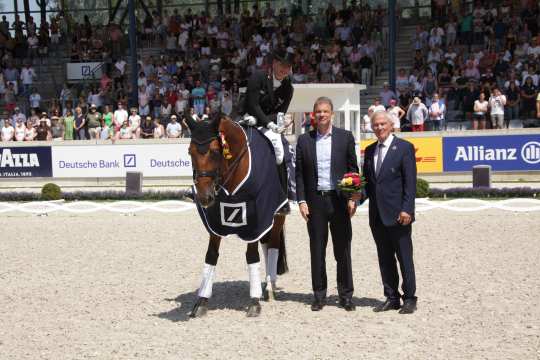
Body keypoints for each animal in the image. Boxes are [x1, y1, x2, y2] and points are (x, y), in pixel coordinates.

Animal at [186, 114, 288, 316]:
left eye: (215, 151)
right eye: (189, 152)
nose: (204, 197)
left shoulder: (256, 219)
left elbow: (252, 256)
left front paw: (254, 302)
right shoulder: (215, 221)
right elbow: (211, 255)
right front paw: (202, 301)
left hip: (278, 214)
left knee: (273, 246)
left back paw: (270, 287)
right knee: (266, 245)